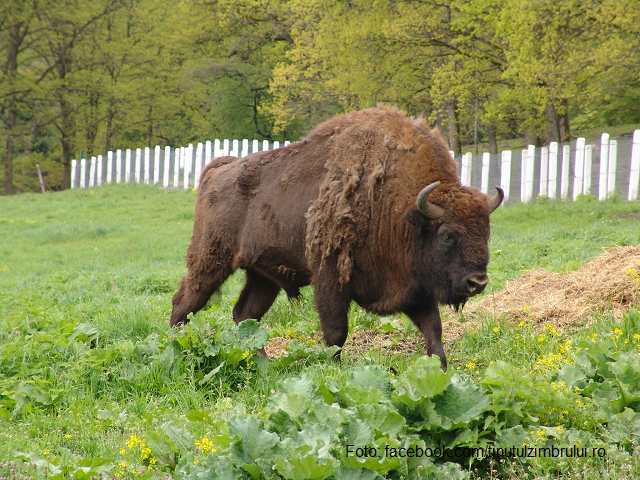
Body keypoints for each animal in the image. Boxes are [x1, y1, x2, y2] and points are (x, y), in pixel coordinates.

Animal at [171, 106, 504, 372]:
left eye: (486, 231)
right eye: (447, 235)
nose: (477, 282)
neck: (402, 210)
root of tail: (218, 169)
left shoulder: (415, 289)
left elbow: (434, 332)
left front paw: (442, 372)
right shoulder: (330, 277)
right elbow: (335, 332)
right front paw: (334, 370)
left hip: (262, 276)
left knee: (245, 315)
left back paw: (263, 365)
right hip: (210, 260)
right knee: (184, 301)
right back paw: (177, 349)